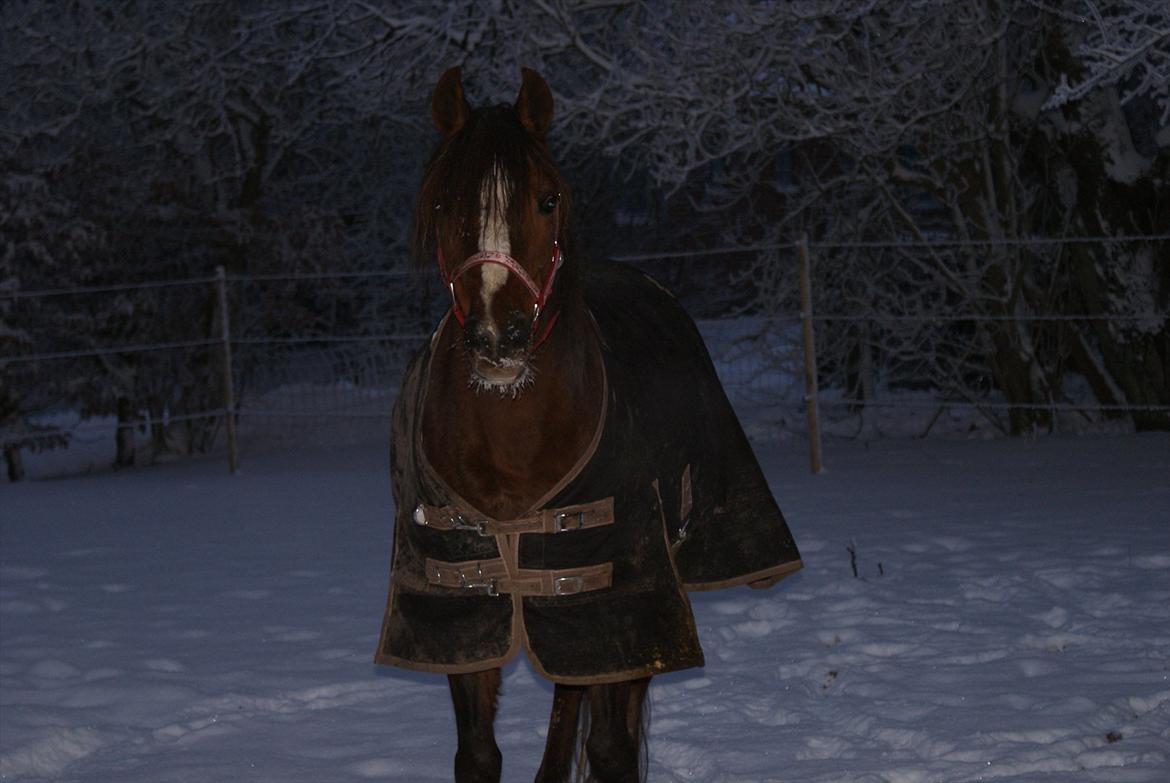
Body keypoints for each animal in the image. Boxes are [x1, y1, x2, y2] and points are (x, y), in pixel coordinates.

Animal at [379, 65, 800, 781]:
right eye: (442, 205)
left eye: (548, 199)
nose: (499, 340)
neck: (514, 447)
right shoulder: (462, 607)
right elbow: (477, 754)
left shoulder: (620, 606)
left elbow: (610, 748)